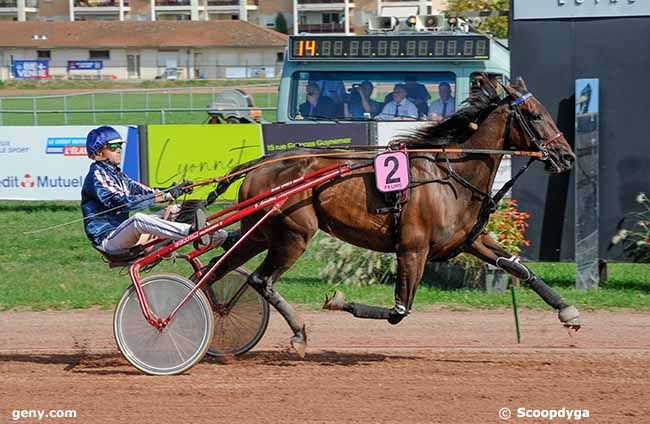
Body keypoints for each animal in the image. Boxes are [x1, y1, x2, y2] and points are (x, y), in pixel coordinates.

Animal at [205, 76, 580, 358]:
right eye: (533, 115)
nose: (567, 157)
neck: (449, 175)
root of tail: (261, 163)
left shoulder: (468, 241)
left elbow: (520, 268)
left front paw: (568, 311)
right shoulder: (413, 249)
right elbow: (400, 312)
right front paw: (338, 300)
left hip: (259, 234)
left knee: (215, 271)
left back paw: (214, 315)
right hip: (294, 235)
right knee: (260, 280)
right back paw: (297, 334)